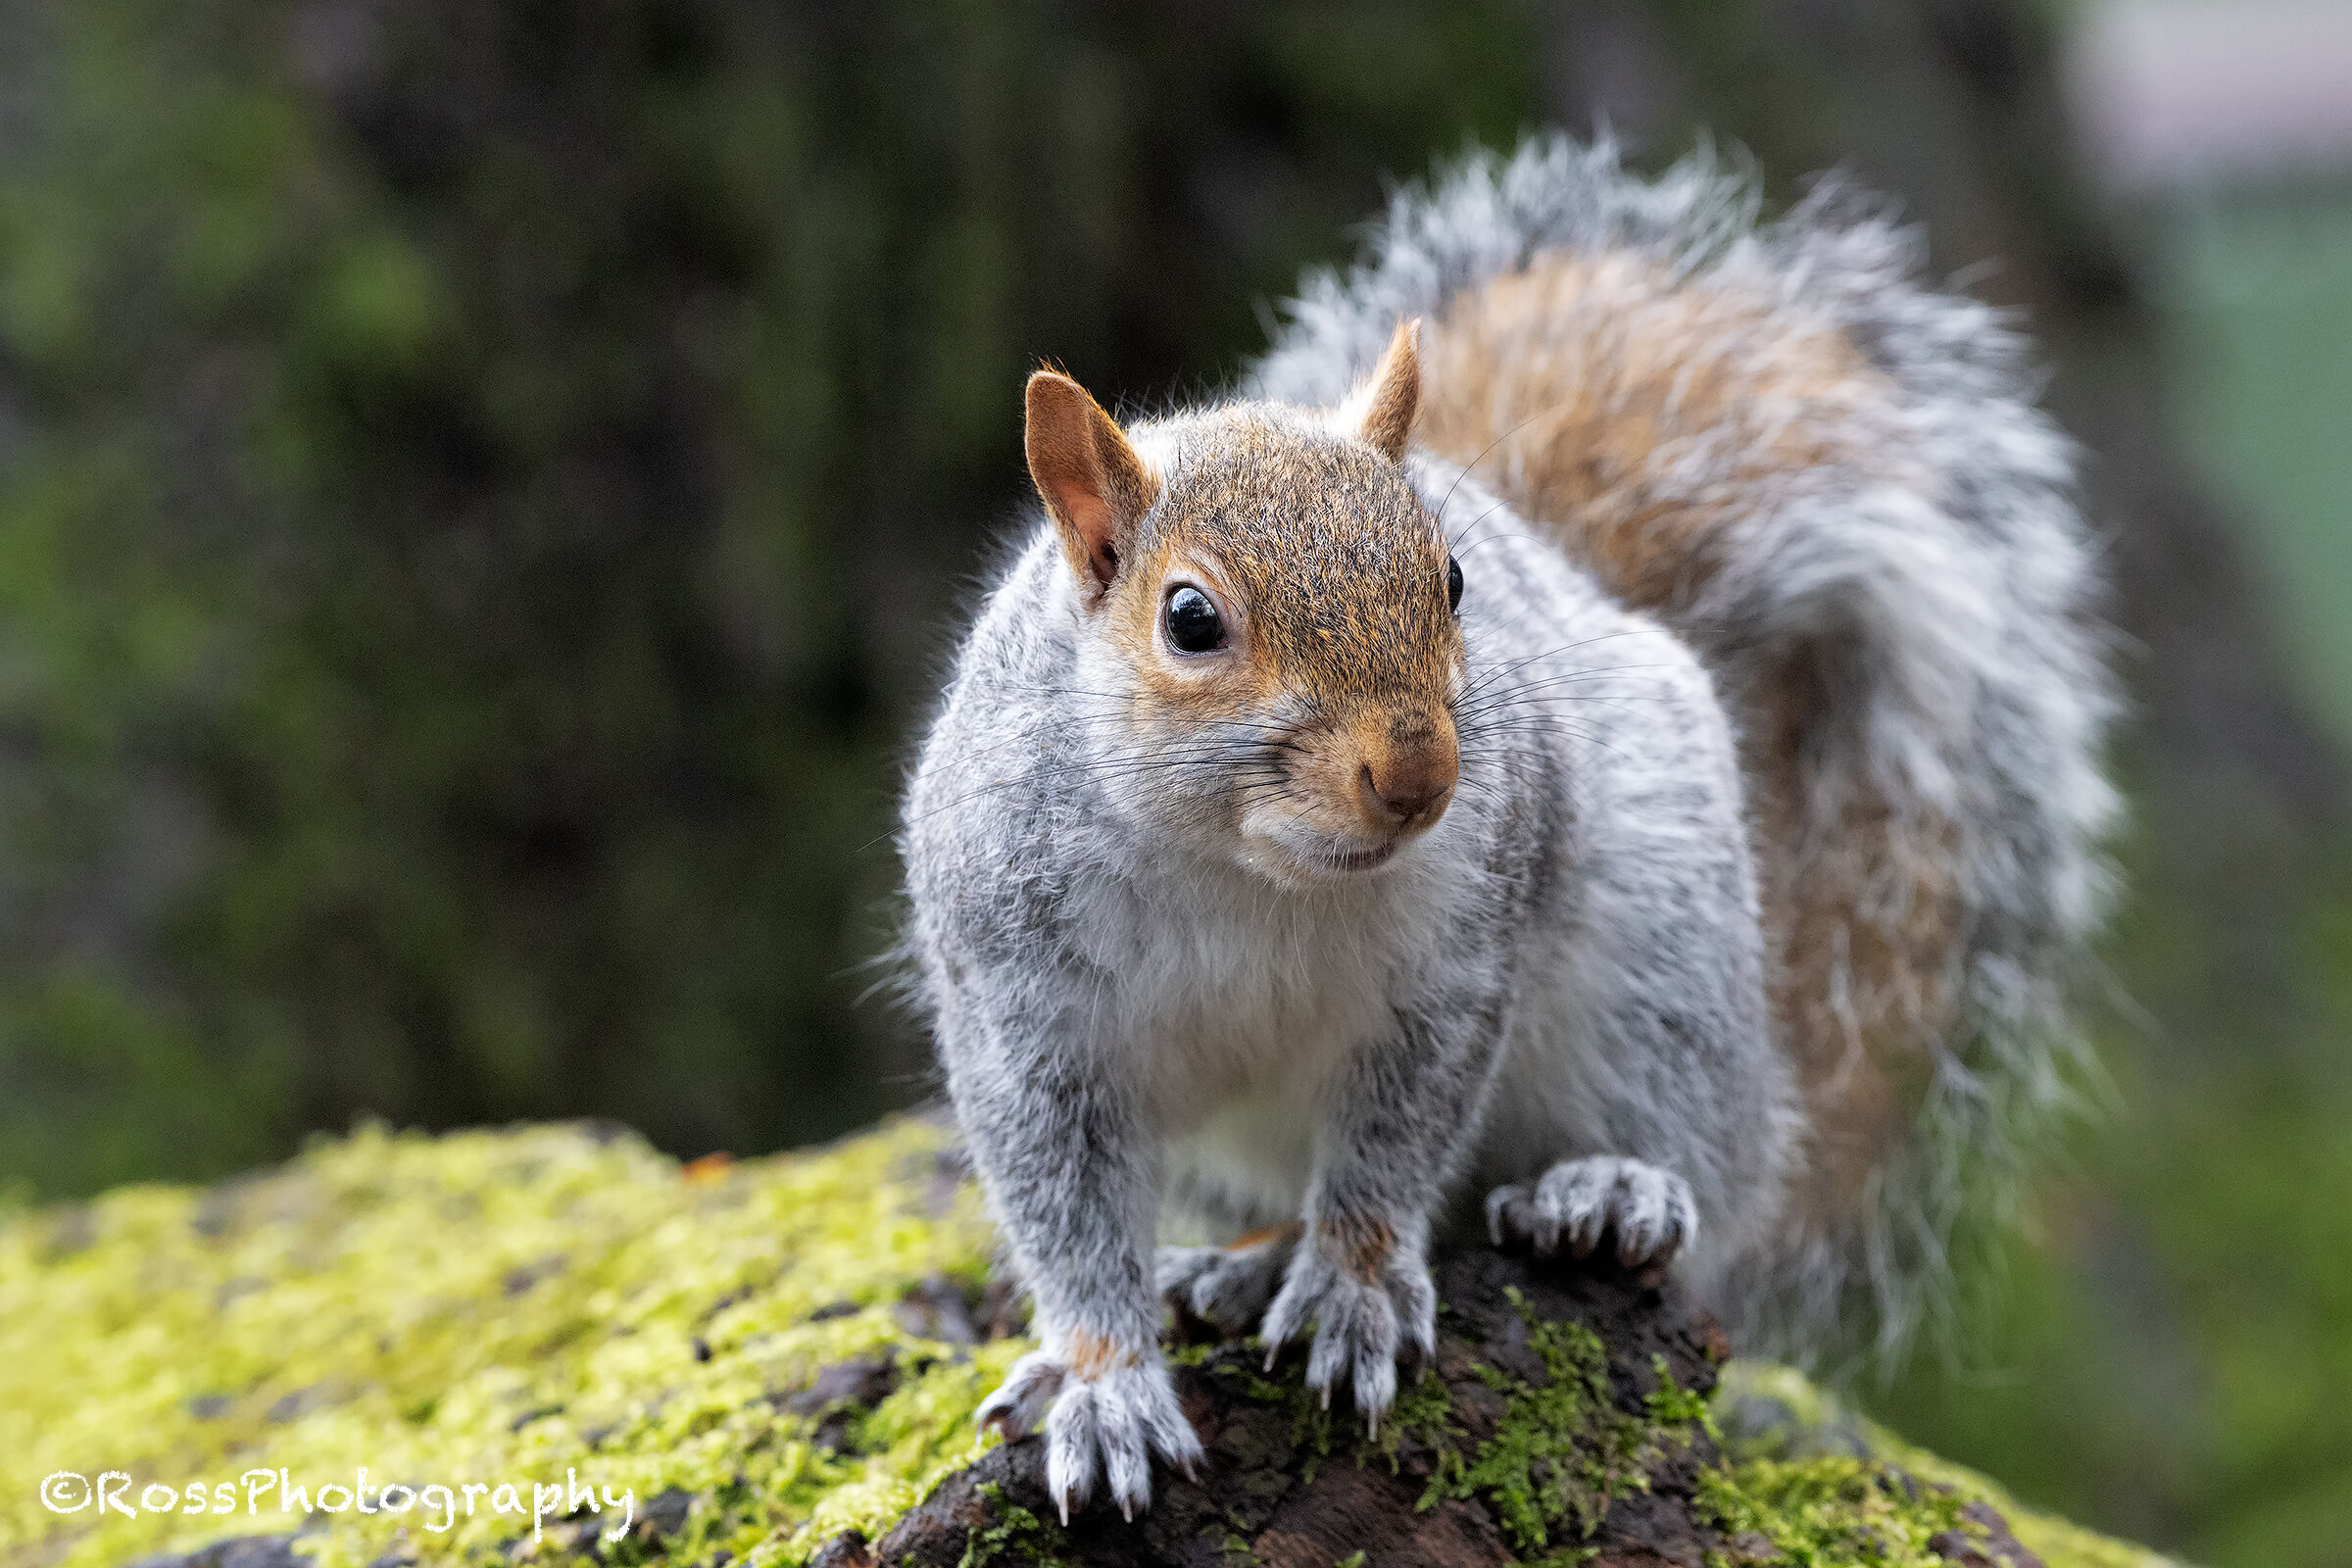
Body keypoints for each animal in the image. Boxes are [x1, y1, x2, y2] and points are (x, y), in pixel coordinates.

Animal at [899, 136, 2116, 1522]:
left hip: (1665, 965)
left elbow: (1394, 1145)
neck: (1243, 870)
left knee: (1705, 1173)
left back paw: (1614, 1187)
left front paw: (1358, 1290)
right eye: (1191, 620)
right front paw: (1102, 1380)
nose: (1420, 775)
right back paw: (1242, 1259)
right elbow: (1064, 1208)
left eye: (1453, 578)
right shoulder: (1022, 1006)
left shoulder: (1455, 964)